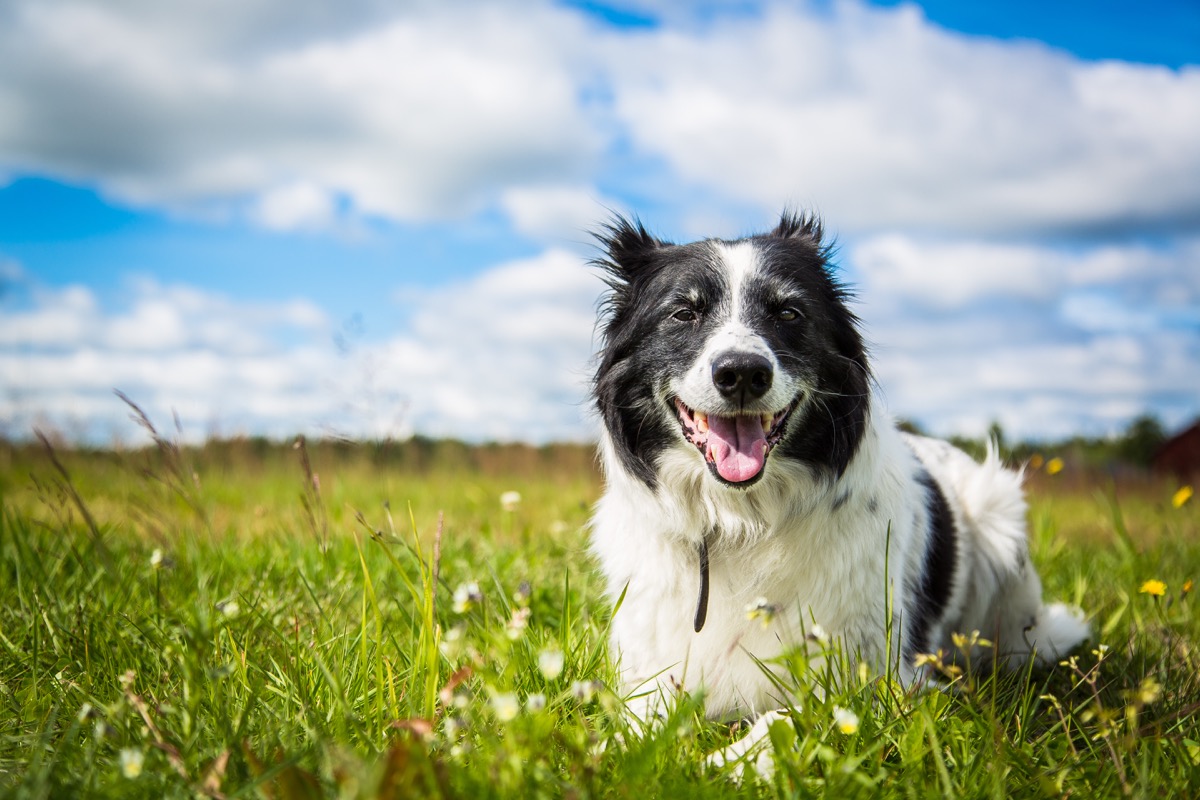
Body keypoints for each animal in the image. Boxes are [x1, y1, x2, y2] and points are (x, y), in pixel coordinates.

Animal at [585, 212, 1094, 767]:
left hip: (999, 525)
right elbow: (634, 724)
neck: (742, 520)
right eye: (683, 313)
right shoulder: (651, 667)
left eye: (788, 312)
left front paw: (719, 766)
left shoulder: (874, 679)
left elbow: (782, 720)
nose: (742, 372)